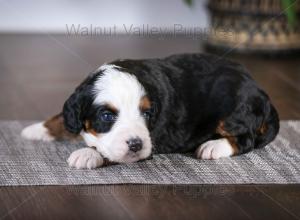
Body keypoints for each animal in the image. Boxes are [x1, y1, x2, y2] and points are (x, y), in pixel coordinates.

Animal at [20, 52, 278, 168]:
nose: (136, 144)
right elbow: (63, 118)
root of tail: (260, 89)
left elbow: (109, 151)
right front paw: (38, 129)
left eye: (146, 113)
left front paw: (86, 154)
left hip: (234, 110)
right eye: (107, 116)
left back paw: (213, 147)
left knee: (246, 139)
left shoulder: (151, 143)